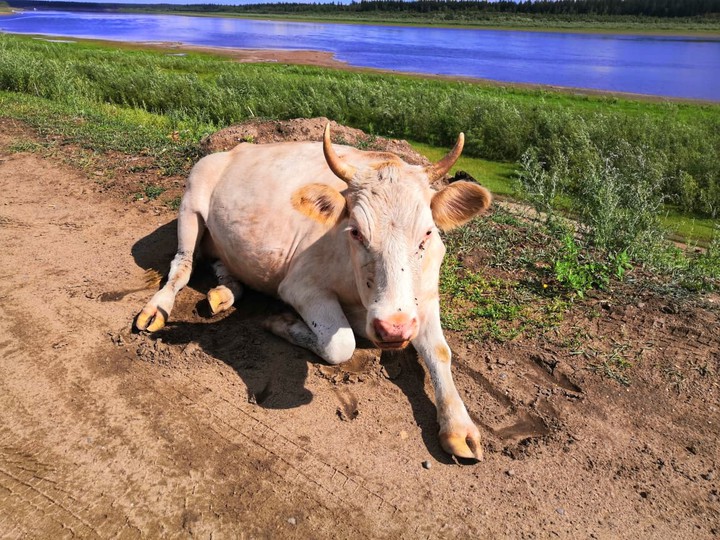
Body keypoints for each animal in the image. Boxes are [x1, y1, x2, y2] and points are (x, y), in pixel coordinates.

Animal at [136, 125, 491, 460]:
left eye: (427, 233)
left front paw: (458, 426)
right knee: (182, 265)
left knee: (226, 268)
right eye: (356, 232)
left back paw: (221, 294)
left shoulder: (426, 296)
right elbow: (341, 344)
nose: (393, 329)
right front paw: (281, 322)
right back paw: (156, 310)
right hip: (191, 203)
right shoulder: (300, 285)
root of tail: (235, 149)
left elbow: (440, 352)